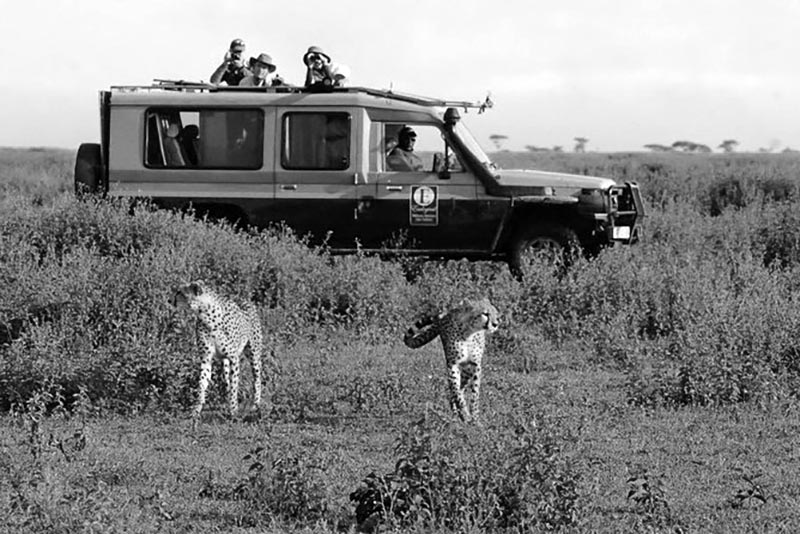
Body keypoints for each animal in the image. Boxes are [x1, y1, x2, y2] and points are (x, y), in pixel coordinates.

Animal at [173, 280, 266, 422]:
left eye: (180, 292)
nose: (170, 300)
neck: (207, 316)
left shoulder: (234, 358)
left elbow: (234, 386)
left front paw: (234, 411)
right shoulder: (206, 358)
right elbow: (202, 384)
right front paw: (196, 411)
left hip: (254, 355)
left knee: (257, 380)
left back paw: (256, 406)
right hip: (225, 363)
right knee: (227, 381)